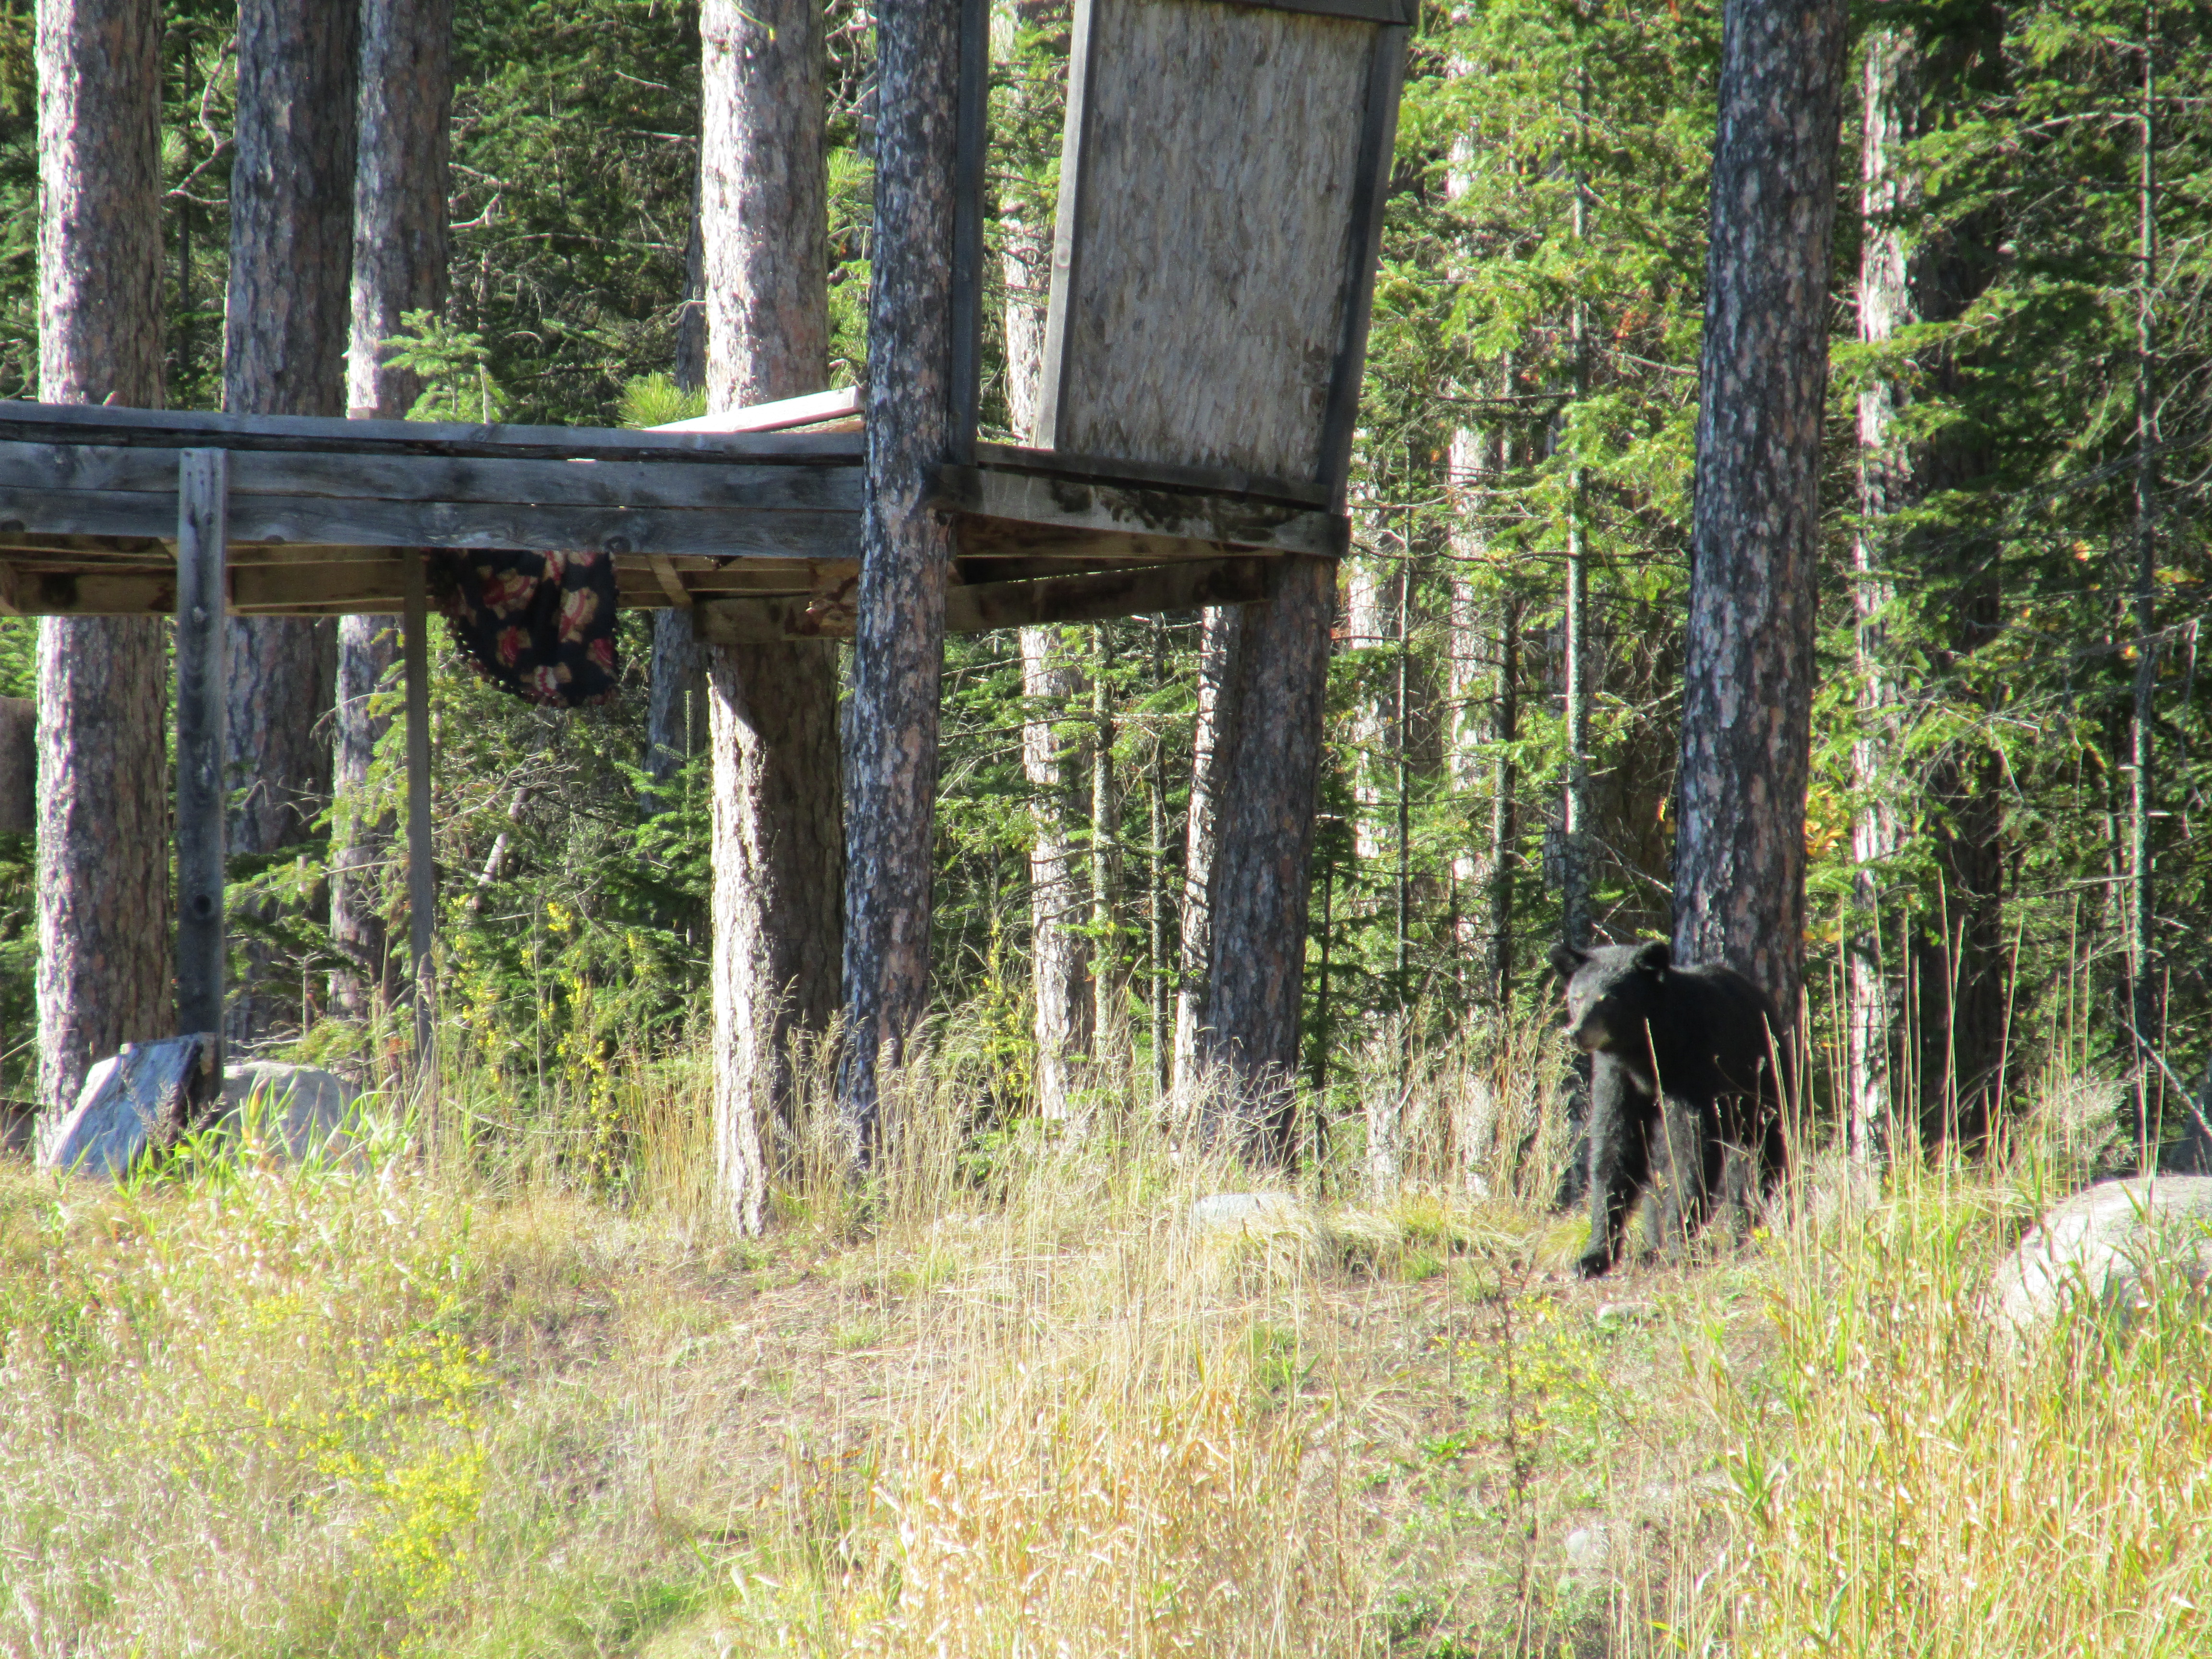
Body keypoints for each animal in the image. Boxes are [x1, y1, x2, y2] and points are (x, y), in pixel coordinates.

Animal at [1549, 939, 1790, 1279]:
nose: (1576, 1032)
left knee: (1755, 1161)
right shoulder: (1617, 1078)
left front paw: (1679, 1245)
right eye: (1577, 996)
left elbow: (1691, 1151)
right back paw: (1653, 1247)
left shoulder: (1694, 1070)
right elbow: (1615, 1148)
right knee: (1659, 1171)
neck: (1649, 1053)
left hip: (1760, 1087)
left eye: (1608, 999)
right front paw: (1593, 1255)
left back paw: (1747, 1232)